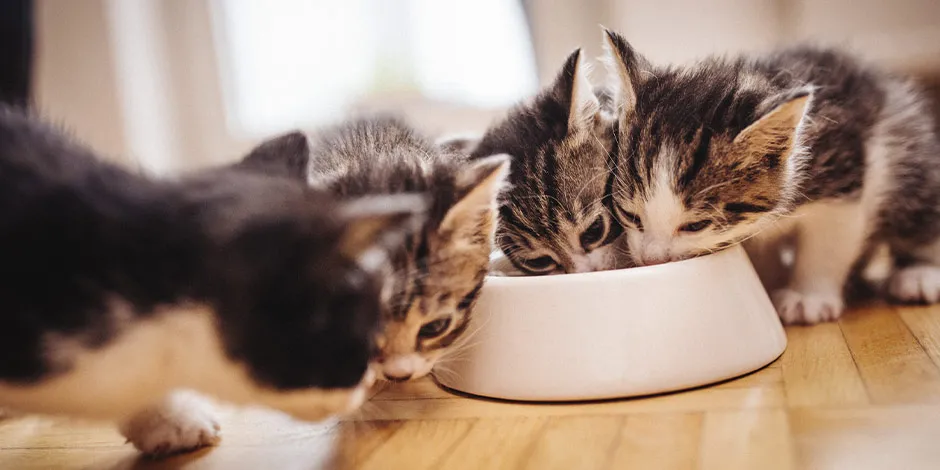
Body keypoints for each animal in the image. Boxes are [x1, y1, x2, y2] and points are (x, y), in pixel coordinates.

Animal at [600, 28, 940, 324]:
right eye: (630, 215)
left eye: (695, 226)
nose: (650, 259)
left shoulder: (844, 171)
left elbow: (830, 241)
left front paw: (809, 298)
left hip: (907, 155)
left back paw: (919, 274)